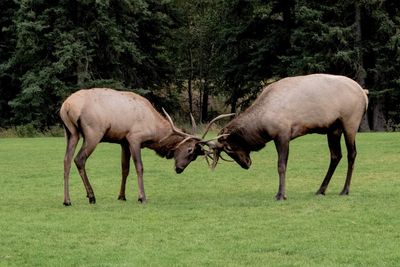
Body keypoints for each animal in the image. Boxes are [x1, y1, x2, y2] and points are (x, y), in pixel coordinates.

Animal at [59, 89, 228, 206]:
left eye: (194, 157)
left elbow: (125, 168)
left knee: (66, 160)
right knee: (79, 159)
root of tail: (67, 106)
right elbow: (139, 167)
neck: (155, 131)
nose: (179, 169)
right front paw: (142, 197)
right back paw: (91, 196)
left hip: (71, 133)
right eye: (190, 150)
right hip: (93, 132)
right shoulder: (134, 138)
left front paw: (122, 196)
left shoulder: (123, 141)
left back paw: (67, 200)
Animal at [209, 74, 368, 200]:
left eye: (229, 148)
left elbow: (281, 165)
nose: (246, 164)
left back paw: (345, 190)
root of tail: (364, 93)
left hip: (350, 123)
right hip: (333, 129)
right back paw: (321, 190)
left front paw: (281, 194)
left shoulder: (283, 134)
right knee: (336, 155)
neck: (262, 123)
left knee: (352, 154)